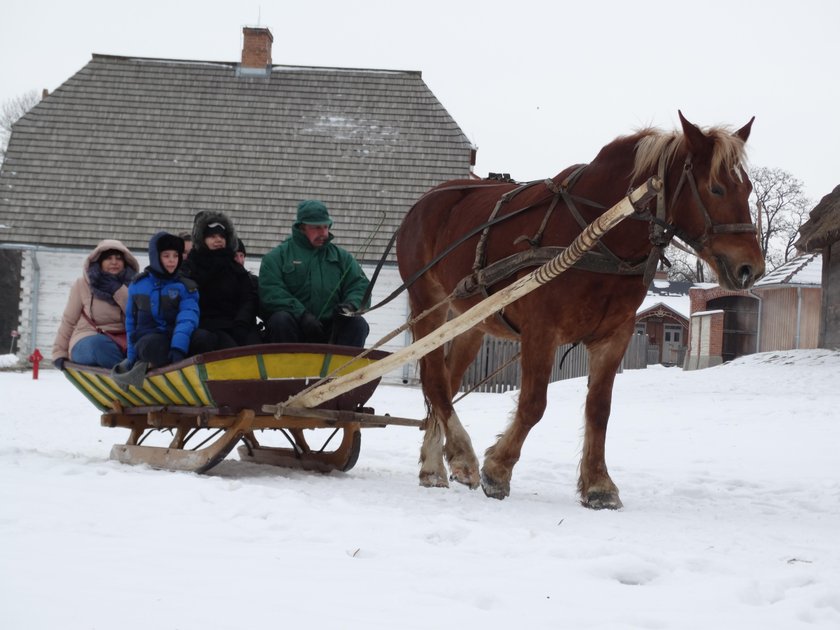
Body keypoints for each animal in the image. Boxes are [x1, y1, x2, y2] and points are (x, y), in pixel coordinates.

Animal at [398, 111, 764, 512]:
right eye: (716, 188)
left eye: (746, 189)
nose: (751, 268)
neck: (596, 235)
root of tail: (427, 200)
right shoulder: (541, 331)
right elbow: (533, 404)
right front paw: (497, 469)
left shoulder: (614, 336)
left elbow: (599, 410)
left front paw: (599, 484)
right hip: (428, 303)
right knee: (434, 379)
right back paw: (461, 456)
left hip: (470, 322)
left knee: (445, 384)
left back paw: (434, 465)